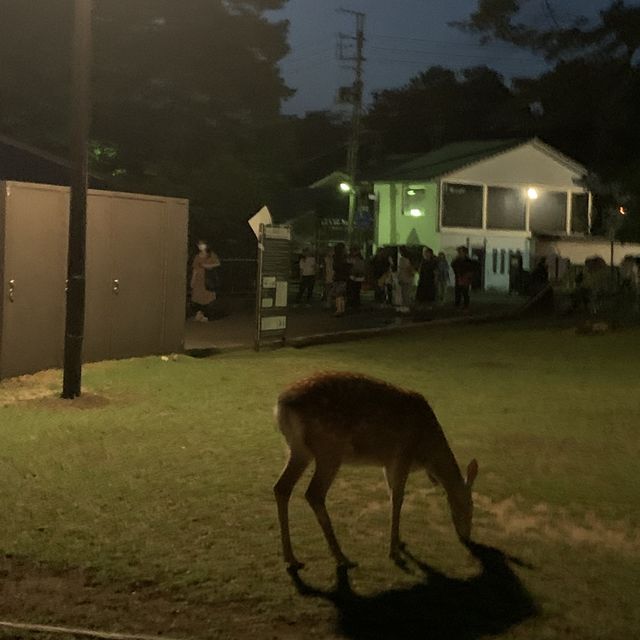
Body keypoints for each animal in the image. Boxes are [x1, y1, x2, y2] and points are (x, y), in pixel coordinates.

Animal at [272, 370, 478, 568]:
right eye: (469, 505)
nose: (466, 537)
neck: (426, 452)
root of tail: (282, 405)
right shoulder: (402, 455)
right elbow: (398, 499)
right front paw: (394, 551)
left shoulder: (388, 463)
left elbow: (391, 495)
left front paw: (400, 543)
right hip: (329, 449)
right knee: (314, 493)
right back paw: (342, 557)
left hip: (298, 450)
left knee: (281, 487)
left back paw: (291, 558)